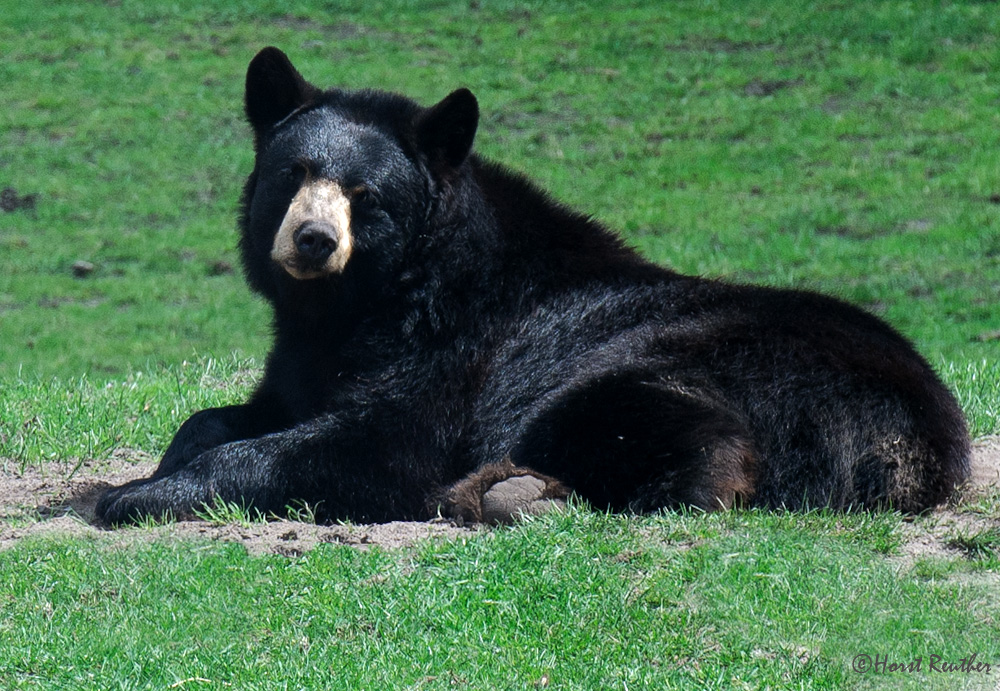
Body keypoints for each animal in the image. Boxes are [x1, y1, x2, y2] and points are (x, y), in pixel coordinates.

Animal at [95, 47, 968, 524]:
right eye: (295, 173)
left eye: (366, 195)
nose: (313, 239)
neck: (371, 298)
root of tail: (922, 445)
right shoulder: (309, 349)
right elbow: (240, 410)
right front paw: (165, 459)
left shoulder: (457, 355)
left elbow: (374, 443)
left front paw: (137, 495)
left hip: (734, 365)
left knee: (673, 433)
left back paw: (507, 491)